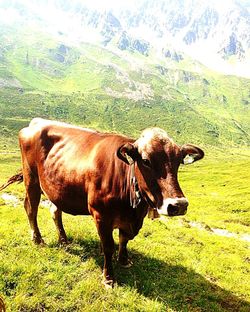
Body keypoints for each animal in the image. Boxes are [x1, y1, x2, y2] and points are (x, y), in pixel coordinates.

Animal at [0, 117, 204, 288]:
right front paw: (108, 277)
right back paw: (38, 240)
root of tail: (36, 122)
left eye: (178, 161)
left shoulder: (130, 220)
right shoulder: (101, 215)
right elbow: (108, 245)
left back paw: (64, 240)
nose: (179, 205)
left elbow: (123, 239)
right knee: (31, 208)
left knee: (55, 212)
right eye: (146, 161)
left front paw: (124, 260)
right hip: (31, 179)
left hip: (56, 187)